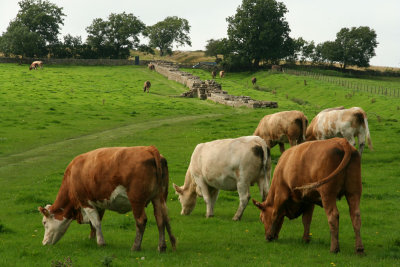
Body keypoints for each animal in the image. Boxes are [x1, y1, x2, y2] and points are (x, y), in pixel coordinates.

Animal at [38, 147, 177, 253]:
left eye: (44, 223)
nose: (43, 243)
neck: (72, 175)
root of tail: (149, 148)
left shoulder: (86, 202)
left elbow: (96, 223)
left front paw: (101, 242)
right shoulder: (99, 203)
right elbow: (94, 223)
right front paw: (92, 238)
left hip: (137, 200)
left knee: (141, 221)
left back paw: (135, 247)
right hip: (158, 197)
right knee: (160, 219)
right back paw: (161, 246)